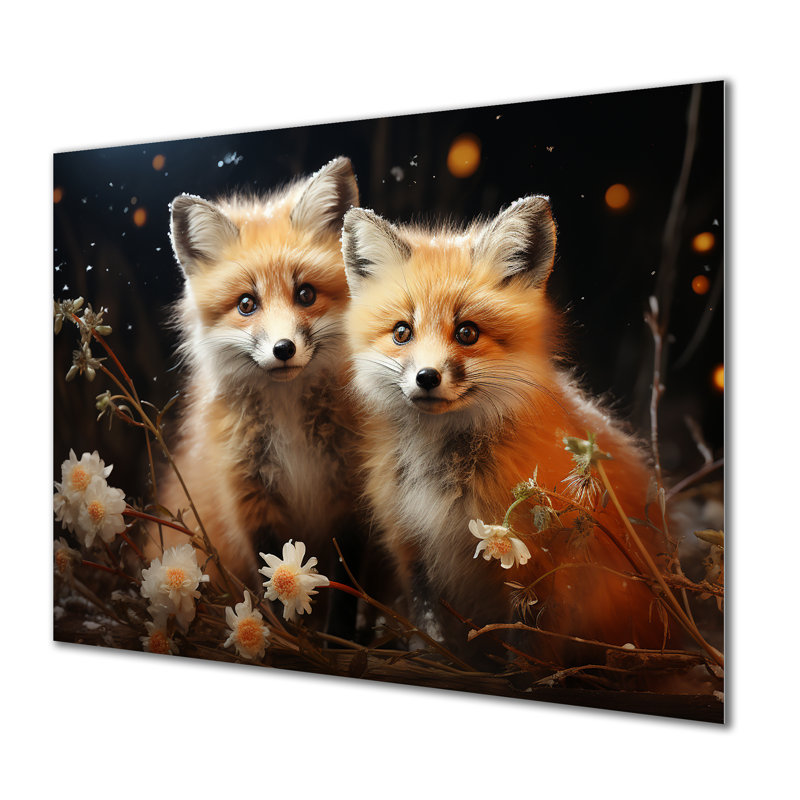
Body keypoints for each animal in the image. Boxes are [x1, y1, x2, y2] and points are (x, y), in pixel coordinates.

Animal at [147, 157, 362, 600]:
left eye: (306, 294)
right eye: (247, 304)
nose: (283, 349)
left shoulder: (349, 511)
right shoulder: (252, 510)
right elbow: (274, 591)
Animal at [341, 197, 672, 664]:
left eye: (467, 332)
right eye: (402, 332)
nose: (427, 377)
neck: (442, 477)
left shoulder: (545, 561)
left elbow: (529, 639)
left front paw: (525, 674)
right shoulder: (412, 546)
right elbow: (428, 625)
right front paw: (432, 661)